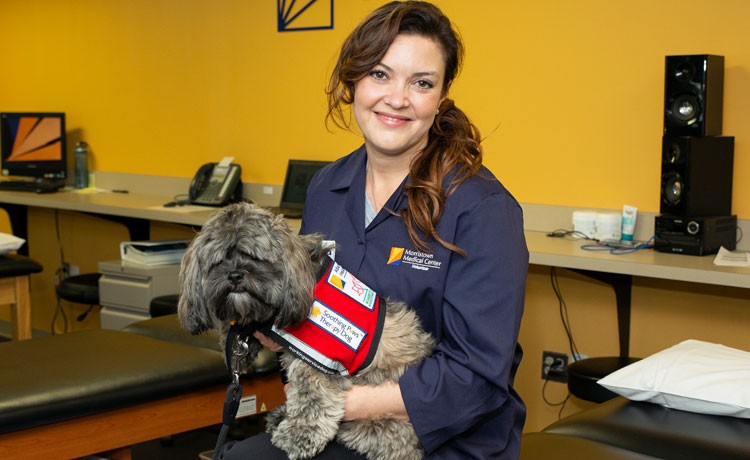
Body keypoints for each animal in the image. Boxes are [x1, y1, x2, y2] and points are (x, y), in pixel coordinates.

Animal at [178, 201, 434, 460]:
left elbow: (311, 399)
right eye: (219, 261)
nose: (235, 275)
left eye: (254, 257)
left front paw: (300, 436)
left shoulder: (316, 361)